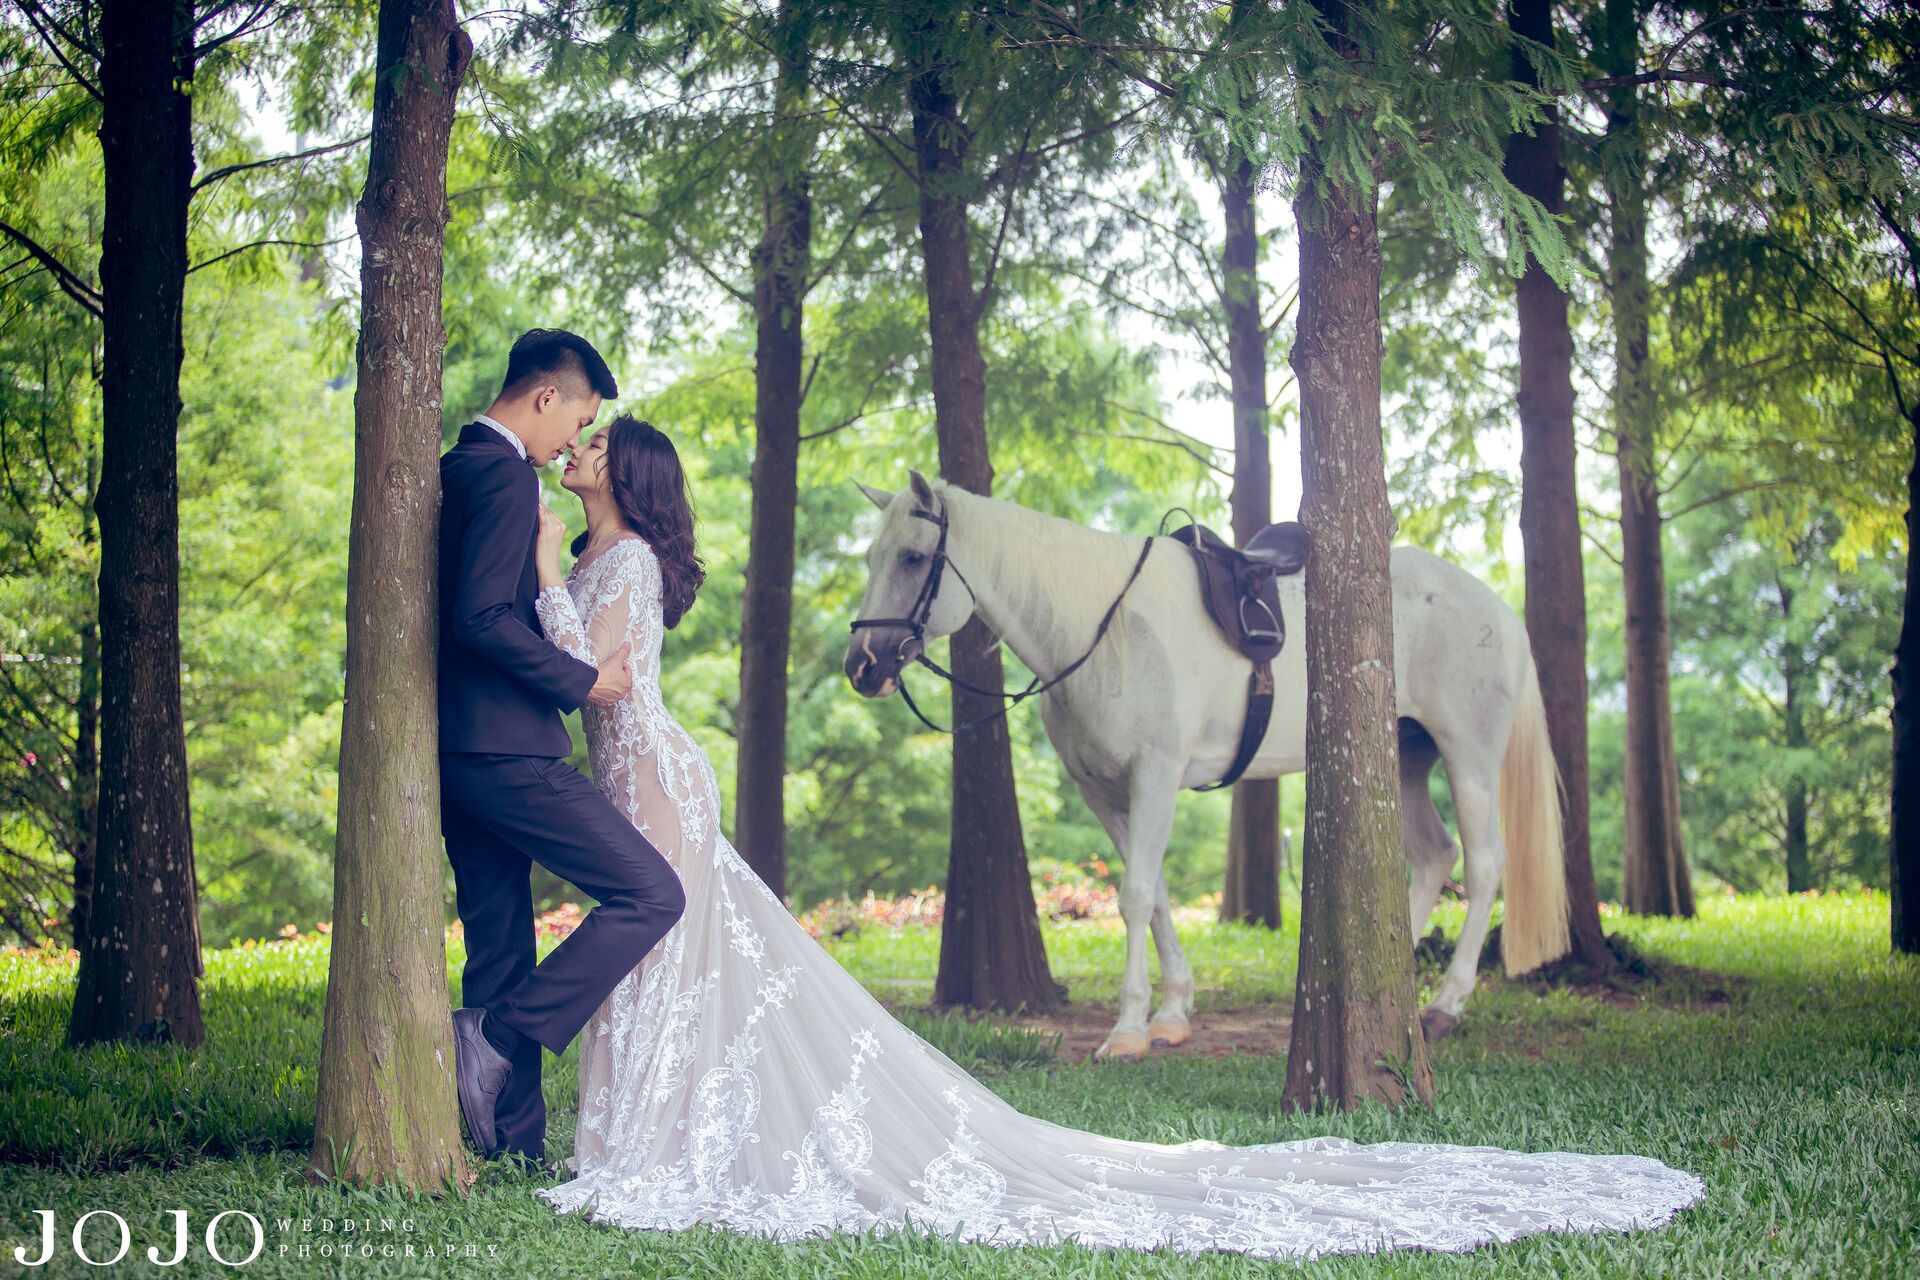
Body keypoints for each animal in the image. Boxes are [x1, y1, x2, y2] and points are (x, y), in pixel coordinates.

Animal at [843, 470, 1571, 1061]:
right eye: (873, 557)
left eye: (913, 557)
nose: (862, 667)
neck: (1105, 631)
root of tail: (1499, 610)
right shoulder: (1106, 794)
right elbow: (1158, 896)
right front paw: (1171, 1014)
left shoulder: (1155, 777)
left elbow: (1136, 896)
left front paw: (1128, 1030)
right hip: (1404, 759)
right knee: (1432, 857)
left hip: (1467, 756)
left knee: (1483, 865)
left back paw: (1445, 1004)